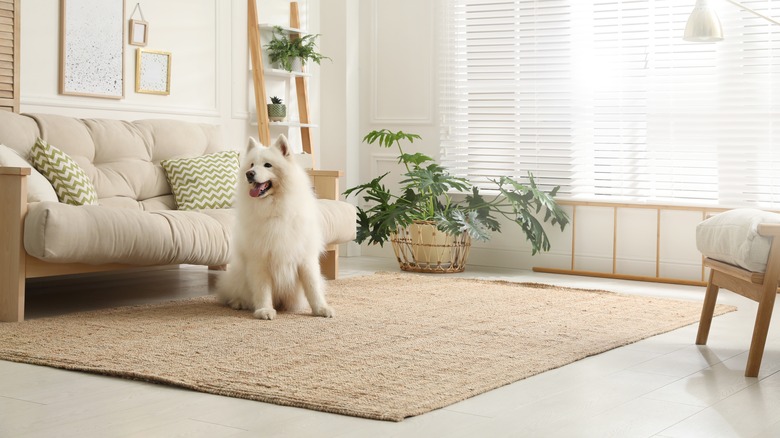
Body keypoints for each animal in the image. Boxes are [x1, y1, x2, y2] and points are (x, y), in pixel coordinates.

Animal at [216, 135, 332, 320]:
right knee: (231, 293)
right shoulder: (259, 259)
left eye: (267, 165)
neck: (275, 209)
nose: (249, 174)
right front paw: (265, 310)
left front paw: (321, 309)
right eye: (251, 165)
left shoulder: (305, 258)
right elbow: (262, 290)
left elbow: (313, 287)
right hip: (237, 277)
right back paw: (238, 302)